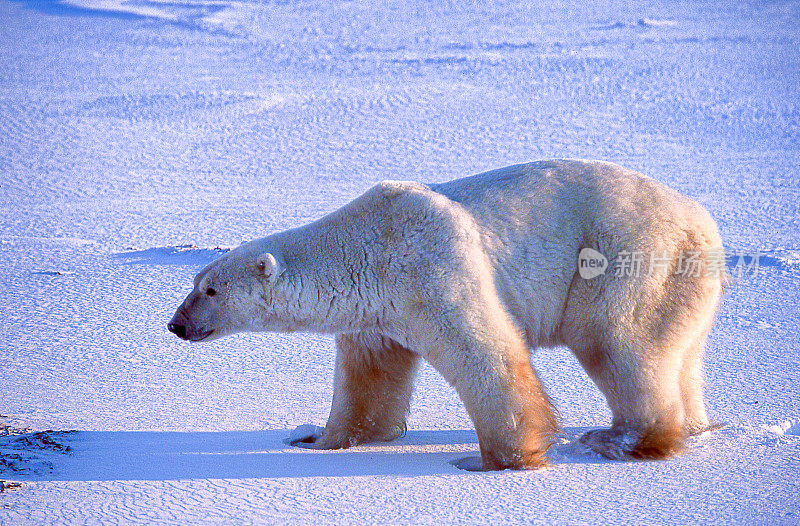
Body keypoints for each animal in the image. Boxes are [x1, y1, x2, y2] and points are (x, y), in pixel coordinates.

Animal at [167, 161, 724, 474]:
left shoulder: (431, 266)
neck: (364, 246)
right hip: (684, 286)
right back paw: (695, 428)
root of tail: (704, 225)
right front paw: (318, 440)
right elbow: (368, 378)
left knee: (616, 342)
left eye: (210, 290)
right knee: (681, 355)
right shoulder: (376, 311)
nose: (175, 324)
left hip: (625, 260)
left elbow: (486, 354)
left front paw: (500, 460)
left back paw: (621, 441)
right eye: (194, 282)